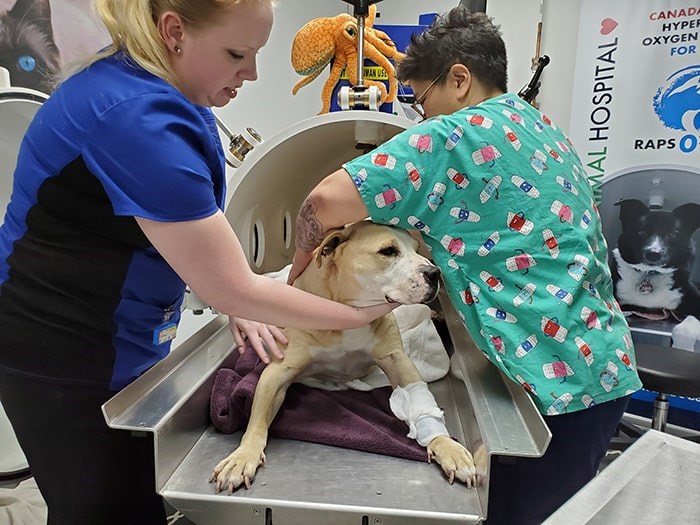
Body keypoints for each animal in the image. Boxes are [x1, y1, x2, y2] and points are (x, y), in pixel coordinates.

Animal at [211, 220, 478, 492]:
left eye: (416, 248)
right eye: (388, 251)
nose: (435, 272)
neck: (346, 306)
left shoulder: (397, 359)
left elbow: (419, 401)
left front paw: (448, 447)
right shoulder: (278, 372)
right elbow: (257, 418)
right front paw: (243, 456)